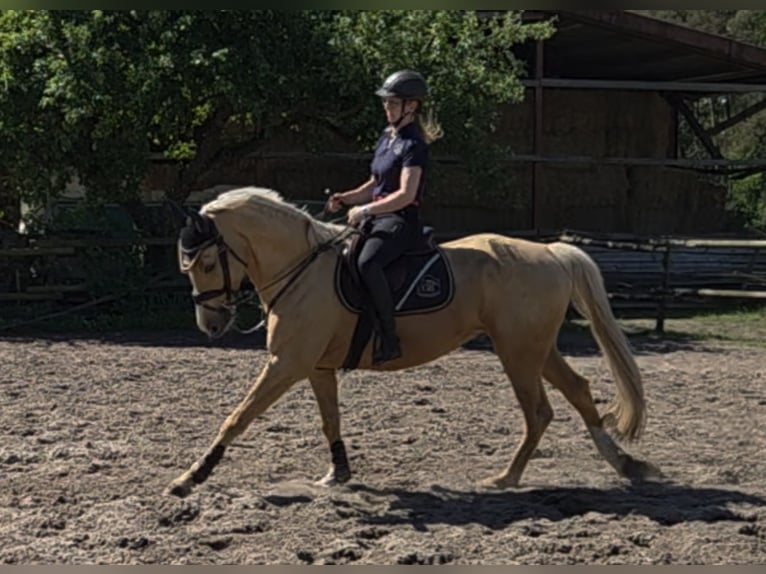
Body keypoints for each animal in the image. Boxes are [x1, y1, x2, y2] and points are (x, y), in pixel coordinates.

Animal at [165, 186, 661, 498]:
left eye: (206, 262)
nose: (210, 324)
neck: (303, 270)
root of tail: (552, 253)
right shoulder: (316, 366)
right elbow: (330, 421)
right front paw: (338, 473)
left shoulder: (286, 363)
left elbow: (238, 417)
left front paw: (190, 478)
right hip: (535, 349)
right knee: (577, 390)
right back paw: (624, 465)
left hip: (518, 353)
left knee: (539, 411)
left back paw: (506, 478)